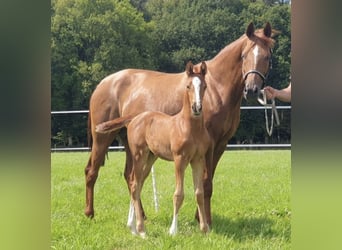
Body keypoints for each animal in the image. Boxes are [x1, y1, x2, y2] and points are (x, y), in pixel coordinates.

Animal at [85, 22, 276, 225]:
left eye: (267, 56)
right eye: (244, 56)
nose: (252, 89)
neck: (216, 88)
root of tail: (102, 84)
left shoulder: (220, 144)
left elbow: (208, 182)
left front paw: (200, 217)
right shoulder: (209, 144)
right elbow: (205, 182)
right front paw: (204, 220)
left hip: (131, 144)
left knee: (130, 177)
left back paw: (141, 216)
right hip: (102, 138)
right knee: (92, 171)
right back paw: (90, 213)